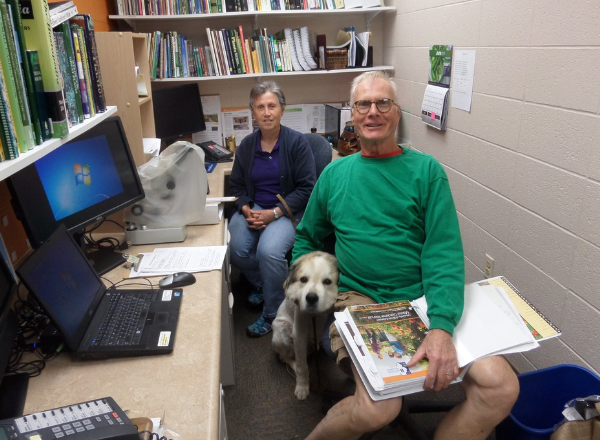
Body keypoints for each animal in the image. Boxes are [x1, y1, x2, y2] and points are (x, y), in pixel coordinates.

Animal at [270, 251, 338, 398]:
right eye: (303, 279)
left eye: (327, 281)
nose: (311, 298)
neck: (315, 315)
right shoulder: (299, 334)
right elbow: (302, 367)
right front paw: (302, 387)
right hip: (282, 329)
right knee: (284, 357)